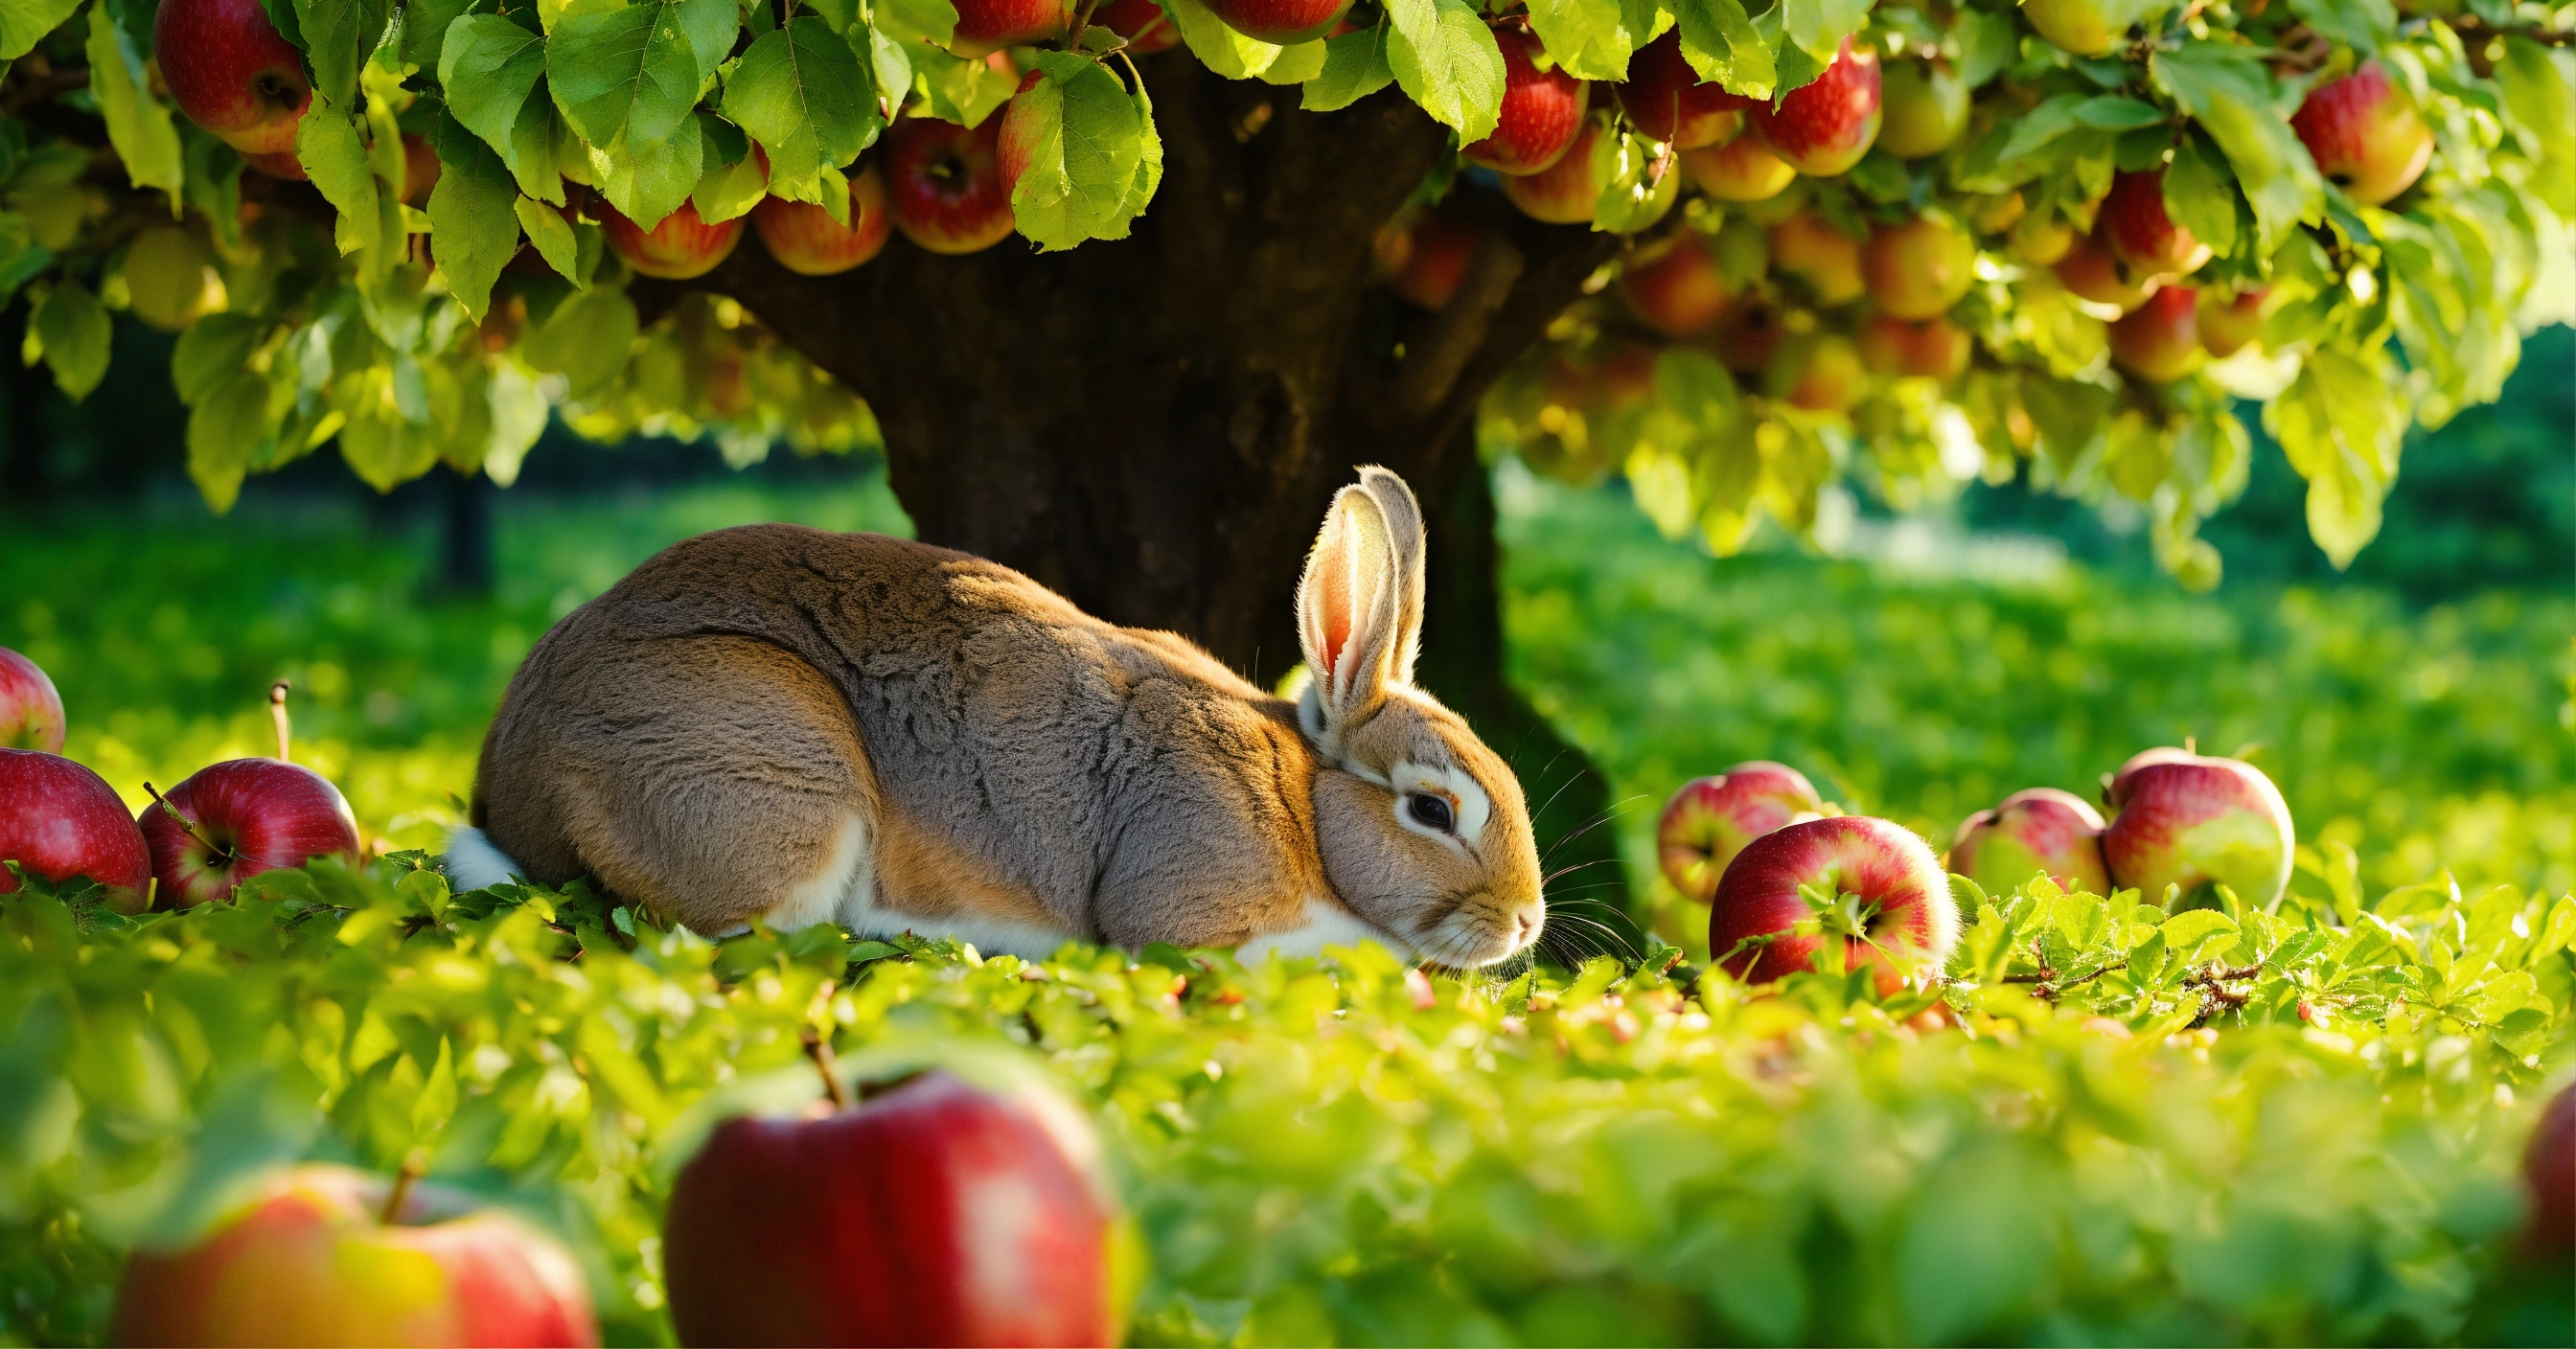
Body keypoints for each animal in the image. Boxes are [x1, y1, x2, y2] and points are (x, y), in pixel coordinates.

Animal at [444, 467, 1548, 967]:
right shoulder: (1189, 909)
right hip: (777, 794)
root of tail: (510, 777)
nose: (1528, 920)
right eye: (1433, 810)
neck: (1305, 812)